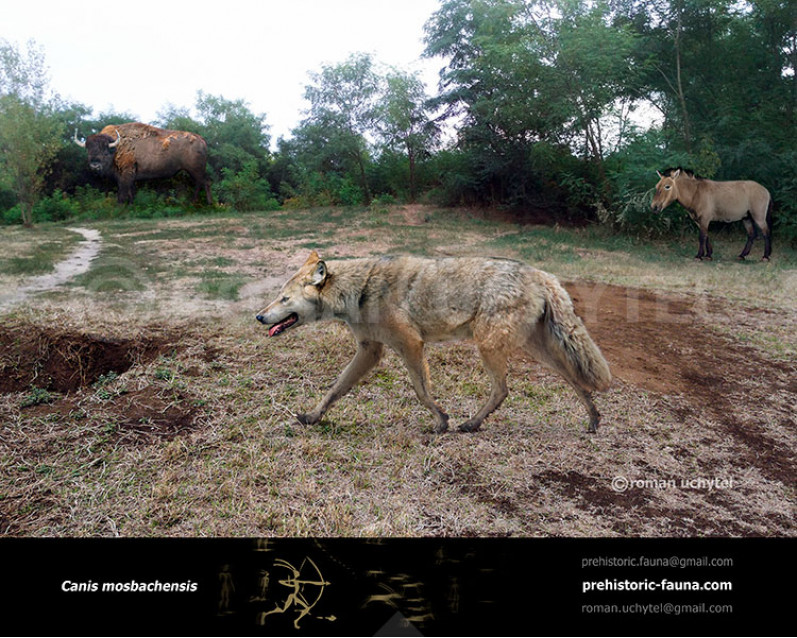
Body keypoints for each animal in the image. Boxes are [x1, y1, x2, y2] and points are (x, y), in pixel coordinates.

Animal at [256, 251, 611, 434]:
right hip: (535, 351)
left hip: (489, 347)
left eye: (283, 299)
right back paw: (593, 419)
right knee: (574, 380)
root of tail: (542, 274)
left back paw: (471, 424)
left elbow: (421, 391)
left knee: (503, 390)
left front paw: (441, 420)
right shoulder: (370, 351)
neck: (362, 290)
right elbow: (334, 390)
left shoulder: (411, 345)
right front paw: (313, 417)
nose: (259, 317)